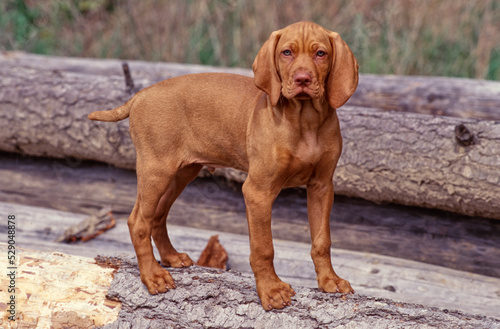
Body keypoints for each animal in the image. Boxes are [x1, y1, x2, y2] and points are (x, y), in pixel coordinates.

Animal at [88, 21, 358, 308]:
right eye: (287, 52)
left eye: (321, 54)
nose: (303, 80)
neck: (305, 121)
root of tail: (140, 95)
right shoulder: (258, 191)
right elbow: (263, 247)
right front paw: (271, 289)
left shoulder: (322, 187)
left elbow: (322, 240)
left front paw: (329, 280)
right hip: (155, 171)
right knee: (138, 221)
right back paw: (152, 275)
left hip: (181, 173)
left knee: (158, 216)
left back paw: (170, 257)